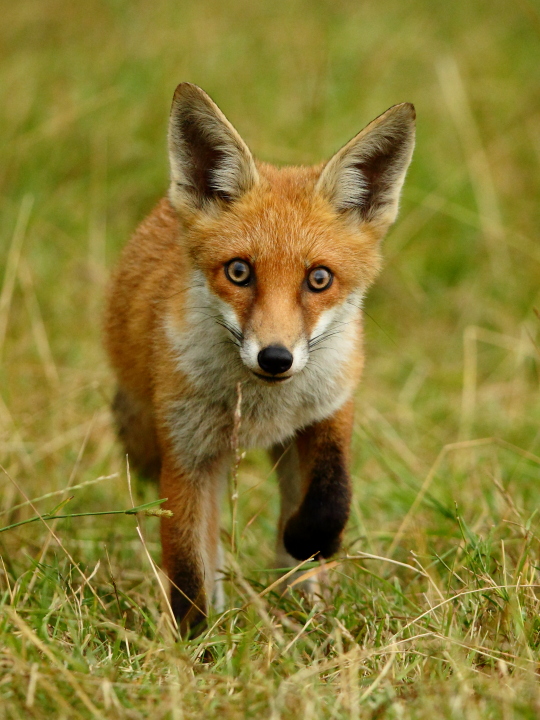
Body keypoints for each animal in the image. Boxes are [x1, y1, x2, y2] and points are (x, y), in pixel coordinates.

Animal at [104, 82, 415, 632]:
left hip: (288, 451)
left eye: (319, 279)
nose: (275, 358)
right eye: (239, 272)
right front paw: (197, 644)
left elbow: (333, 496)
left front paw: (310, 541)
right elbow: (188, 568)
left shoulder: (332, 405)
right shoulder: (186, 452)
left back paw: (306, 603)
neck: (263, 408)